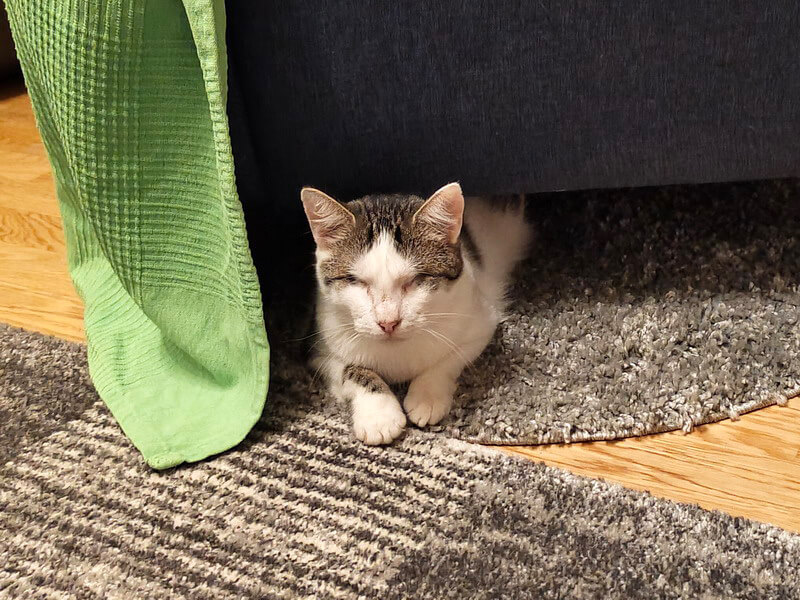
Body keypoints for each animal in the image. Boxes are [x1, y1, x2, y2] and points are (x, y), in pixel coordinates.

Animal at [301, 183, 531, 444]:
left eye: (416, 279)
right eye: (356, 281)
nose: (388, 322)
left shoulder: (481, 322)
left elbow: (449, 358)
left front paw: (427, 396)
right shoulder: (319, 348)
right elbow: (351, 369)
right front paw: (378, 414)